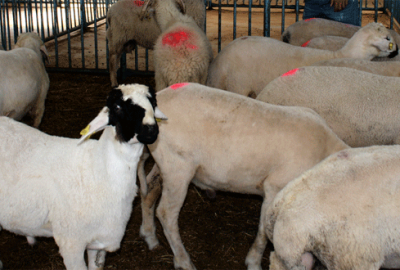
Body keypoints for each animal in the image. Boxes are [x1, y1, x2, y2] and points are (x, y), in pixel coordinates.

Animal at [0, 84, 167, 270]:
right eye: (117, 107)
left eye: (153, 102)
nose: (151, 130)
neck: (100, 169)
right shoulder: (71, 242)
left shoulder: (98, 241)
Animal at [136, 82, 348, 270]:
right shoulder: (275, 188)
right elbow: (263, 232)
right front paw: (253, 263)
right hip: (178, 167)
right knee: (166, 213)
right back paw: (184, 261)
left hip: (163, 161)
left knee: (148, 191)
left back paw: (150, 237)